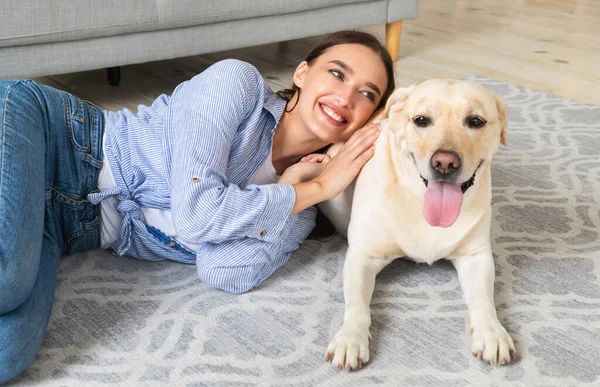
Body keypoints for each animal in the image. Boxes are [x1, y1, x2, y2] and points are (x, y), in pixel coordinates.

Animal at [318, 79, 516, 372]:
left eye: (476, 121)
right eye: (421, 120)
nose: (444, 163)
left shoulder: (476, 256)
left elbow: (484, 299)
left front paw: (491, 332)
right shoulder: (362, 255)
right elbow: (357, 303)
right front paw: (350, 338)